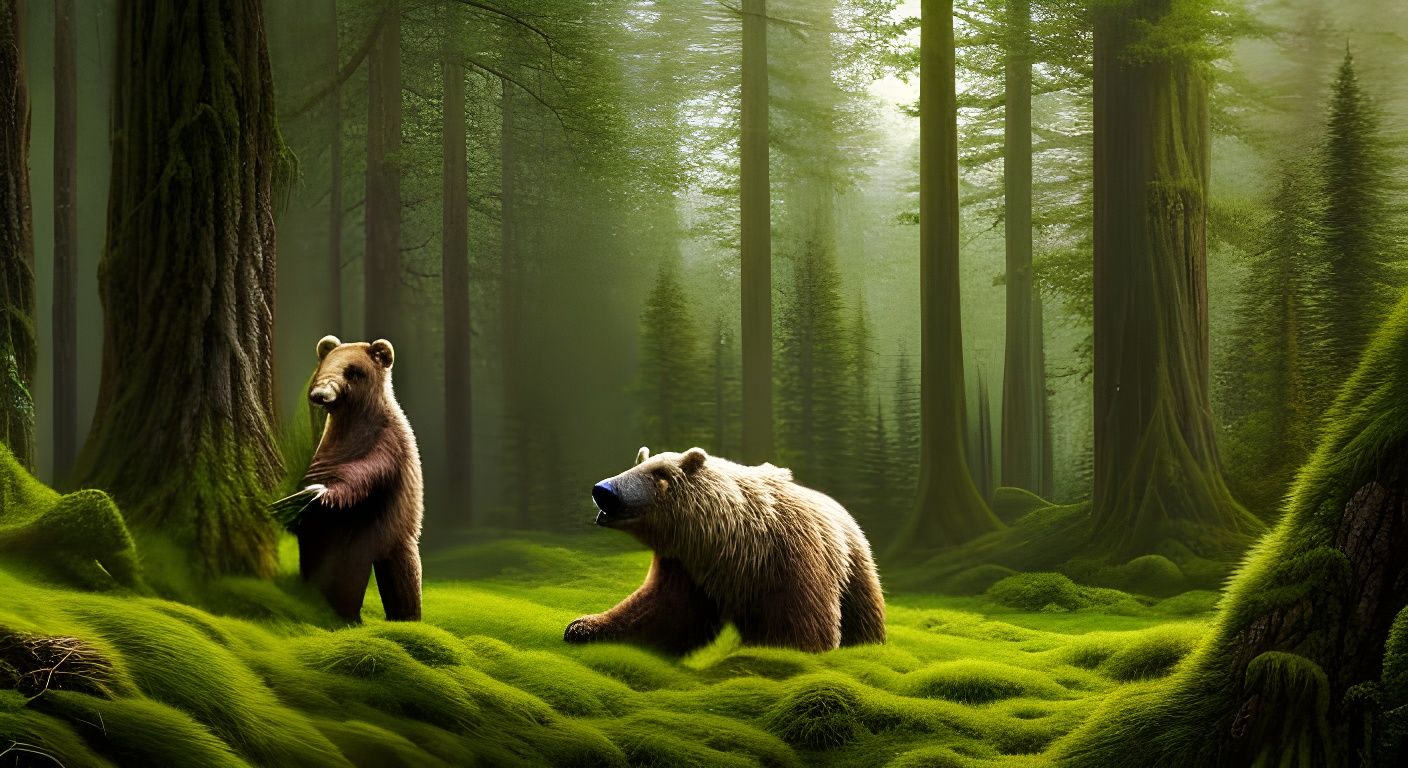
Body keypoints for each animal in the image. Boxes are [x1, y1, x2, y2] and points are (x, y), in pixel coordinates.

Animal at [293, 335, 424, 622]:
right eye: (325, 365)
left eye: (353, 371)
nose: (320, 393)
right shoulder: (327, 447)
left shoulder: (386, 448)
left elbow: (362, 475)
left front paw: (321, 492)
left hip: (380, 534)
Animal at [564, 447, 885, 654]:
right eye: (636, 464)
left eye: (658, 473)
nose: (603, 490)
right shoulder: (687, 568)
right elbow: (662, 612)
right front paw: (583, 626)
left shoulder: (791, 557)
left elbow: (801, 625)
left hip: (855, 569)